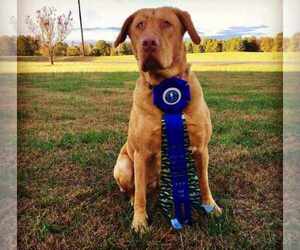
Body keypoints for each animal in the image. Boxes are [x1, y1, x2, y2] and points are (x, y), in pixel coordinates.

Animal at [112, 6, 220, 233]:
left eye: (167, 23)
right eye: (140, 25)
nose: (148, 43)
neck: (165, 84)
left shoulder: (201, 148)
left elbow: (204, 182)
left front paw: (210, 206)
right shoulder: (141, 153)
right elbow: (140, 194)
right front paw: (140, 221)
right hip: (123, 165)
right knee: (136, 189)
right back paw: (132, 200)